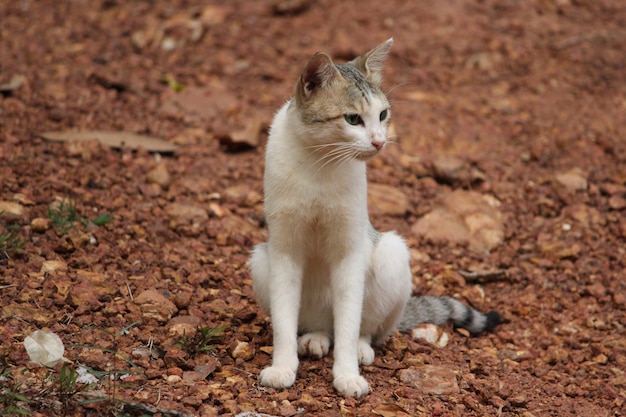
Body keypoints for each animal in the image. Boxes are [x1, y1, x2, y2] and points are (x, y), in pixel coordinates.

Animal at [249, 38, 498, 396]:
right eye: (353, 119)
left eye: (382, 114)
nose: (380, 141)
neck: (319, 162)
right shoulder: (284, 249)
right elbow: (284, 322)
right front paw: (283, 368)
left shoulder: (351, 250)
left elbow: (350, 325)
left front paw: (347, 374)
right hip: (260, 260)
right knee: (319, 325)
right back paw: (315, 338)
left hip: (391, 253)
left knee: (362, 328)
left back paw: (360, 348)